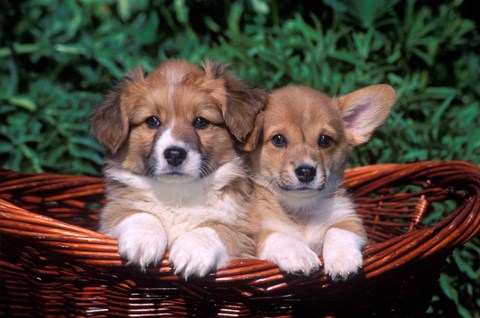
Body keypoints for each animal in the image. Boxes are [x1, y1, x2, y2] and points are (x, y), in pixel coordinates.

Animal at [90, 59, 266, 278]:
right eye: (152, 121)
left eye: (200, 121)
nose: (174, 154)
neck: (177, 193)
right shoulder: (113, 212)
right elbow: (138, 213)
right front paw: (143, 240)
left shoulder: (243, 228)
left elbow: (214, 227)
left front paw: (193, 251)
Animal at [246, 84, 396, 278]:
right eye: (278, 139)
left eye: (325, 140)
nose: (306, 171)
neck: (301, 209)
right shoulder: (258, 234)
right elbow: (280, 236)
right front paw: (300, 255)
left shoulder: (351, 222)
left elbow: (337, 231)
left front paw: (342, 260)